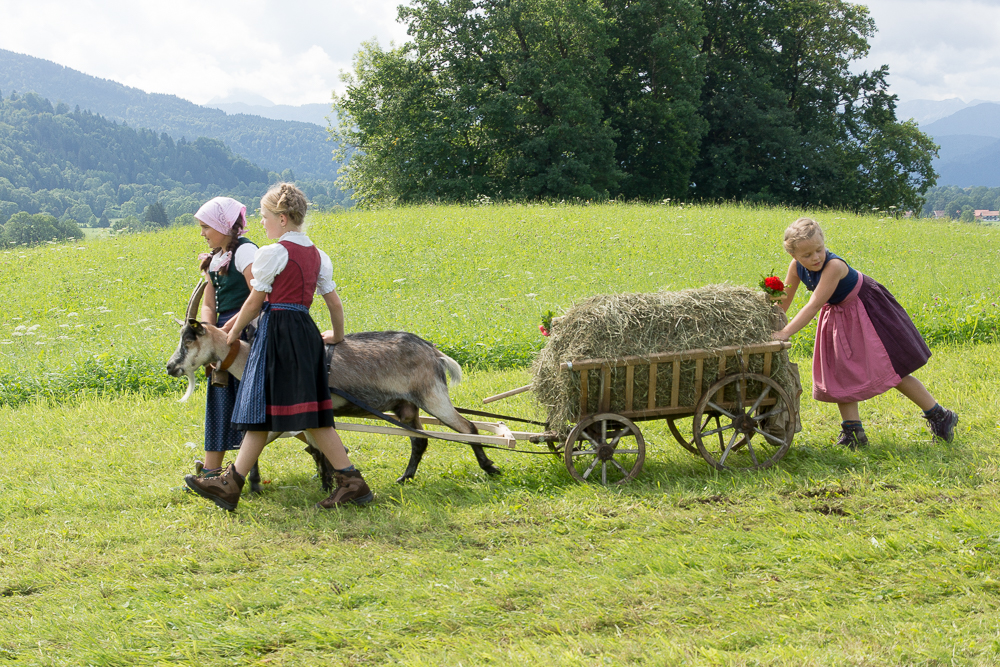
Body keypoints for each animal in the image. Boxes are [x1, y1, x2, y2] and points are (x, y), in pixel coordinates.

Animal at [169, 284, 508, 488]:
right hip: (407, 406)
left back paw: (490, 467)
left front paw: (327, 482)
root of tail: (433, 351)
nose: (171, 367)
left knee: (467, 429)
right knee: (419, 441)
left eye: (189, 339)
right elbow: (301, 447)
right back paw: (404, 477)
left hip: (432, 396)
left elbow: (315, 448)